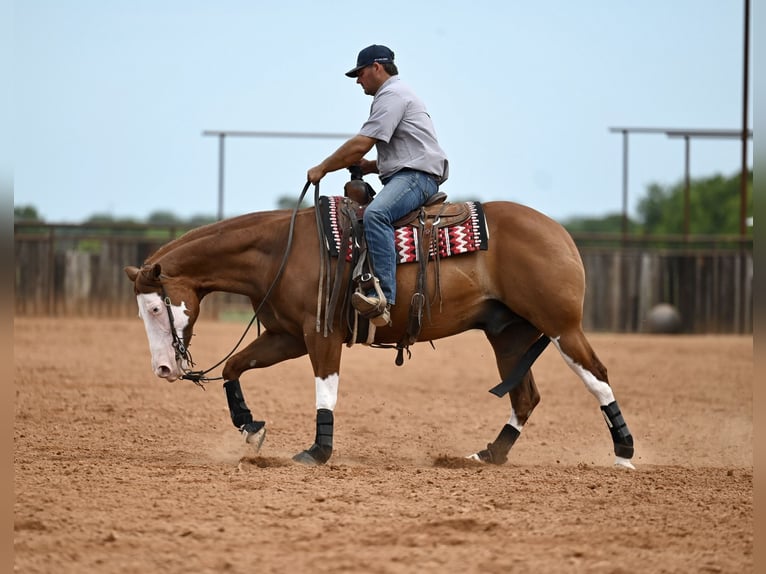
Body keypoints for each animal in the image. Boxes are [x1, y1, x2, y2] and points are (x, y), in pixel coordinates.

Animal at [124, 193, 635, 469]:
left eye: (155, 307)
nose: (163, 368)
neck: (278, 253)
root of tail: (560, 233)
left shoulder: (320, 335)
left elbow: (325, 388)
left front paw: (318, 451)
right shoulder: (286, 337)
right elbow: (233, 366)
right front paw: (251, 428)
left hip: (561, 326)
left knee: (598, 376)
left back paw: (624, 452)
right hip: (508, 335)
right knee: (526, 397)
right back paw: (489, 454)